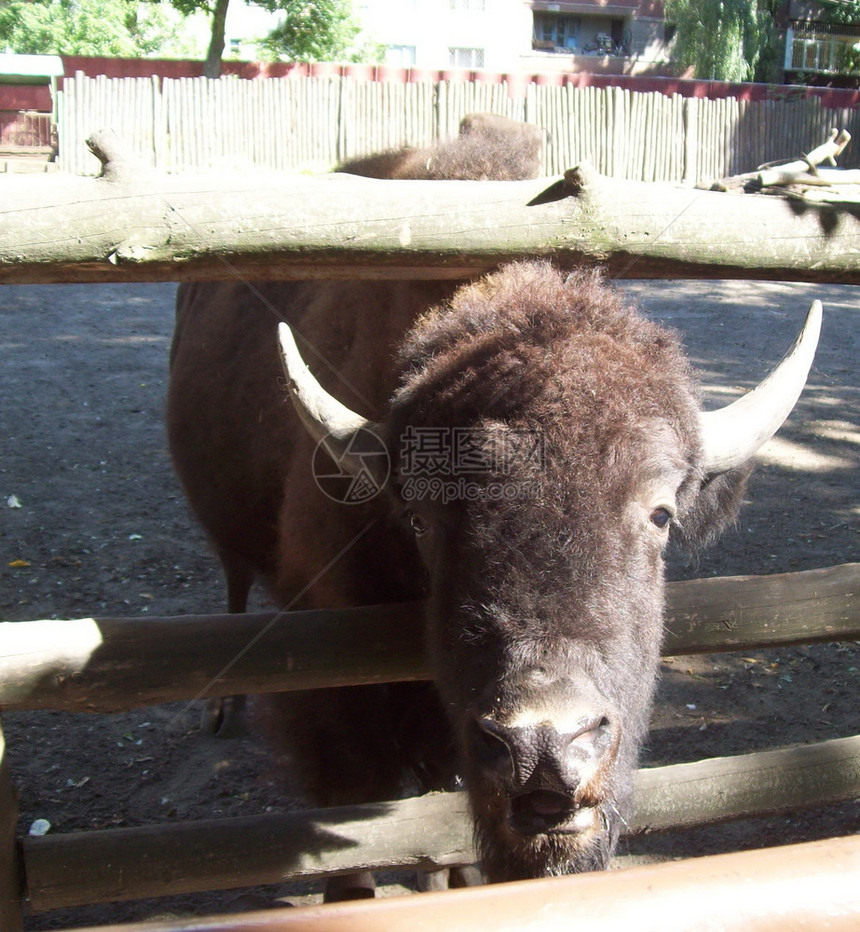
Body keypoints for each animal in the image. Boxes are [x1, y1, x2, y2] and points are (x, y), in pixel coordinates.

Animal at [166, 118, 820, 896]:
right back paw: (217, 709)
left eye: (660, 513)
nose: (544, 747)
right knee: (232, 582)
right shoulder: (335, 710)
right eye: (422, 520)